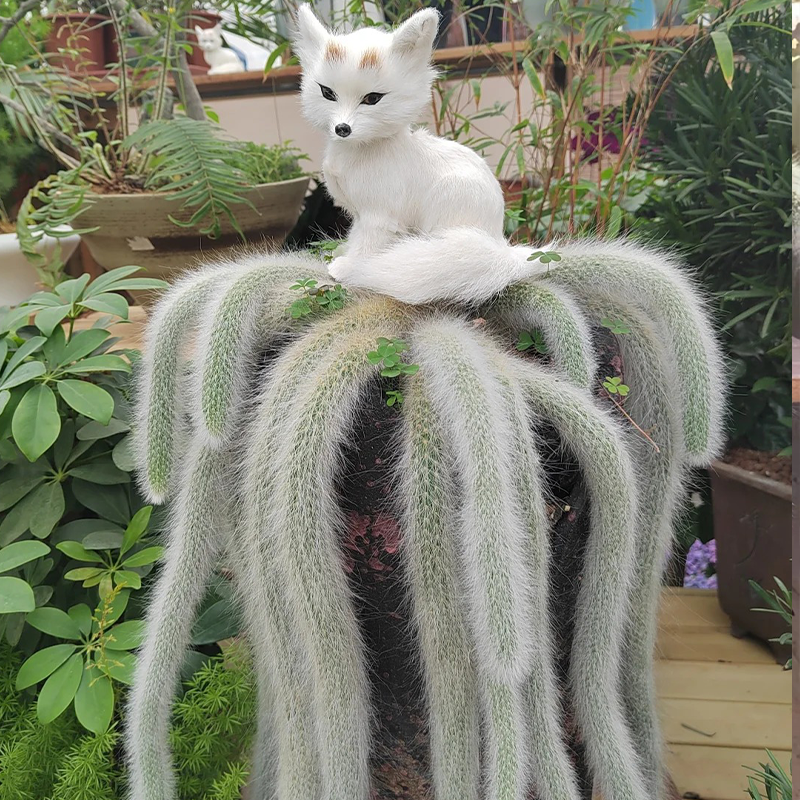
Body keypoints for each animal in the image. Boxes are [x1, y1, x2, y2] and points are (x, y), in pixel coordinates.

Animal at [292, 4, 552, 305]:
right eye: (327, 93)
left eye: (372, 99)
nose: (342, 128)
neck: (358, 152)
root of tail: (500, 248)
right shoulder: (360, 215)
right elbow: (355, 237)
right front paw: (343, 253)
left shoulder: (379, 217)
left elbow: (366, 247)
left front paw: (349, 267)